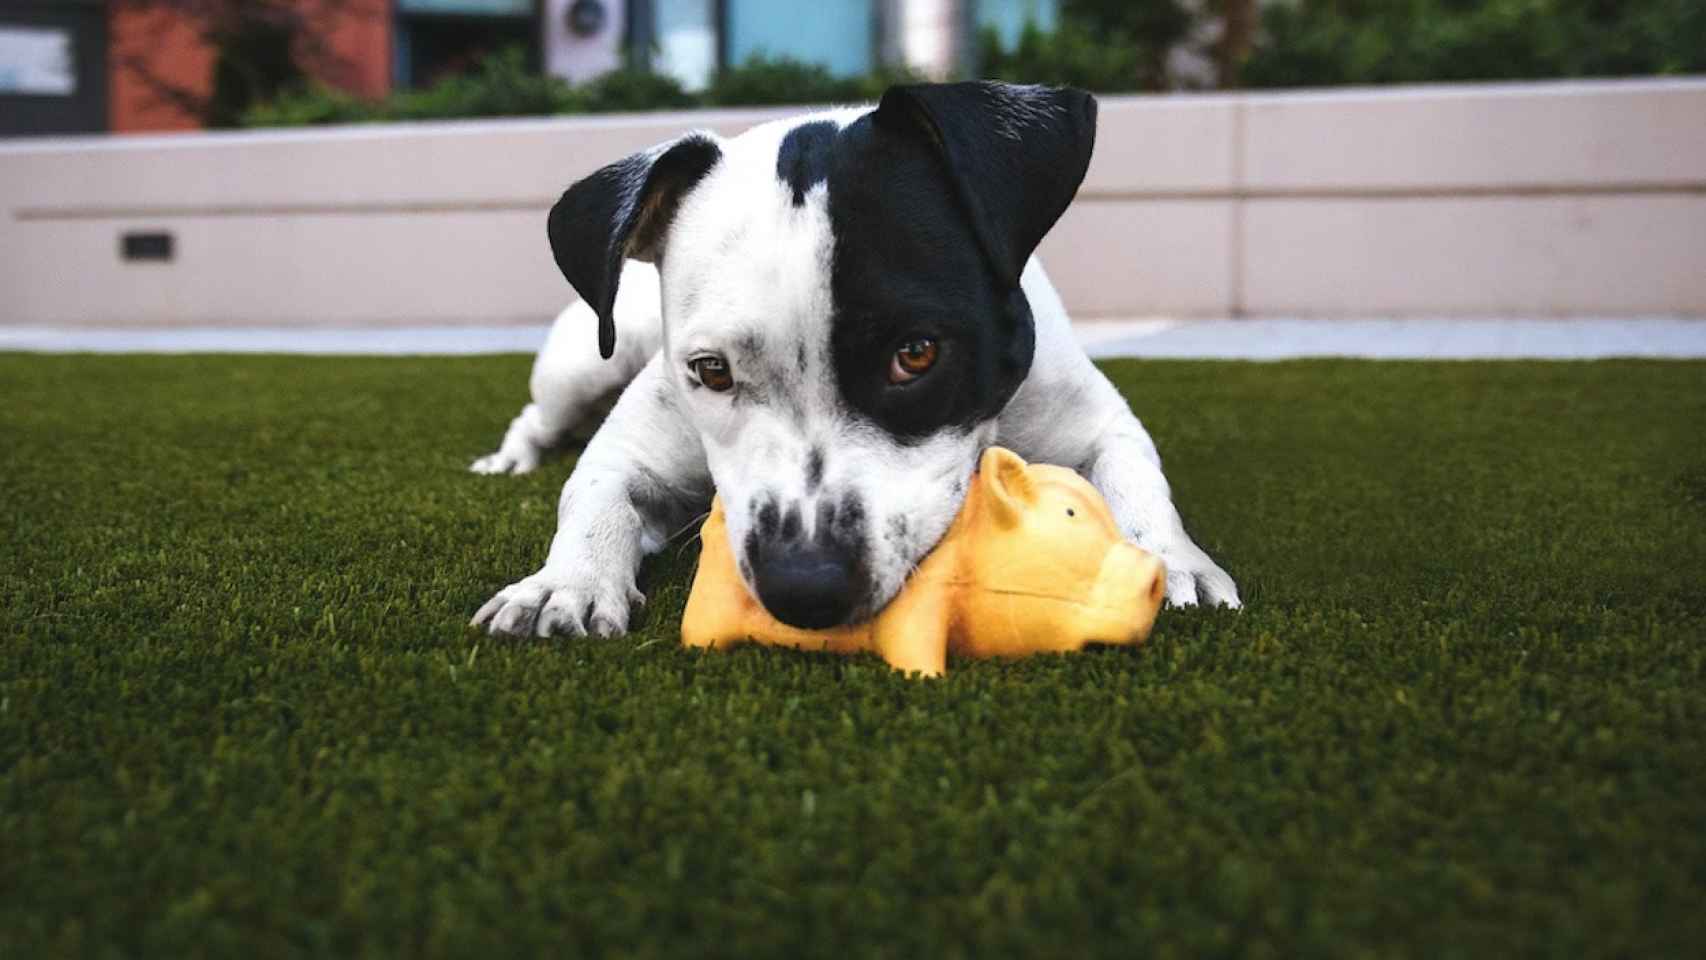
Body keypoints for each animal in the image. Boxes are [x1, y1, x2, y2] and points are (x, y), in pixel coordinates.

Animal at [470, 80, 1241, 637]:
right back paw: (510, 460)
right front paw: (564, 583)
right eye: (711, 371)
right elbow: (596, 497)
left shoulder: (1097, 422)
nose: (804, 586)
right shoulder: (632, 450)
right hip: (586, 363)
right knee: (538, 416)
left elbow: (1136, 481)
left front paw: (1172, 560)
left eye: (916, 354)